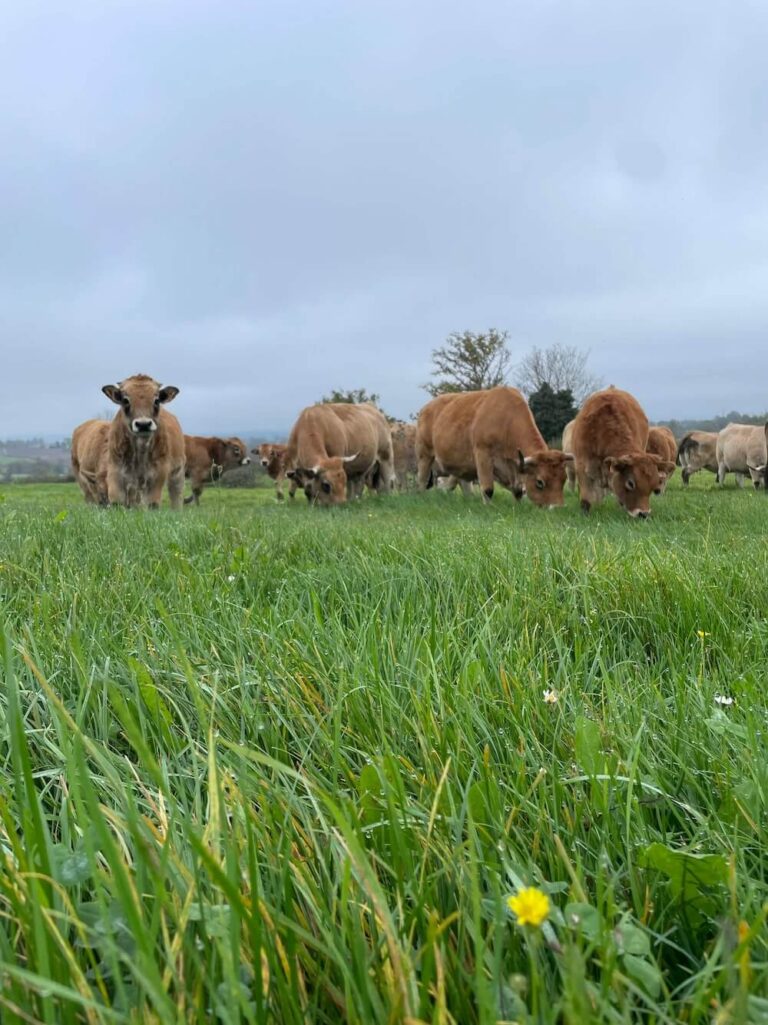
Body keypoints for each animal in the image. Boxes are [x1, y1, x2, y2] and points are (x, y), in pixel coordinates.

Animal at [101, 374, 185, 508]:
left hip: (177, 473)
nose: (143, 424)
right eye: (125, 400)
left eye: (157, 400)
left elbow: (153, 504)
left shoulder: (158, 474)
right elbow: (116, 501)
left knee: (176, 496)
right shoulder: (115, 471)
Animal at [416, 386, 574, 508]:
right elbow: (487, 489)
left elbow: (518, 491)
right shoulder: (483, 455)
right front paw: (488, 508)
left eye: (564, 479)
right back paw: (421, 498)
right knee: (422, 480)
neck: (505, 422)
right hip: (425, 454)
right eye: (540, 482)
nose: (557, 508)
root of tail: (426, 407)